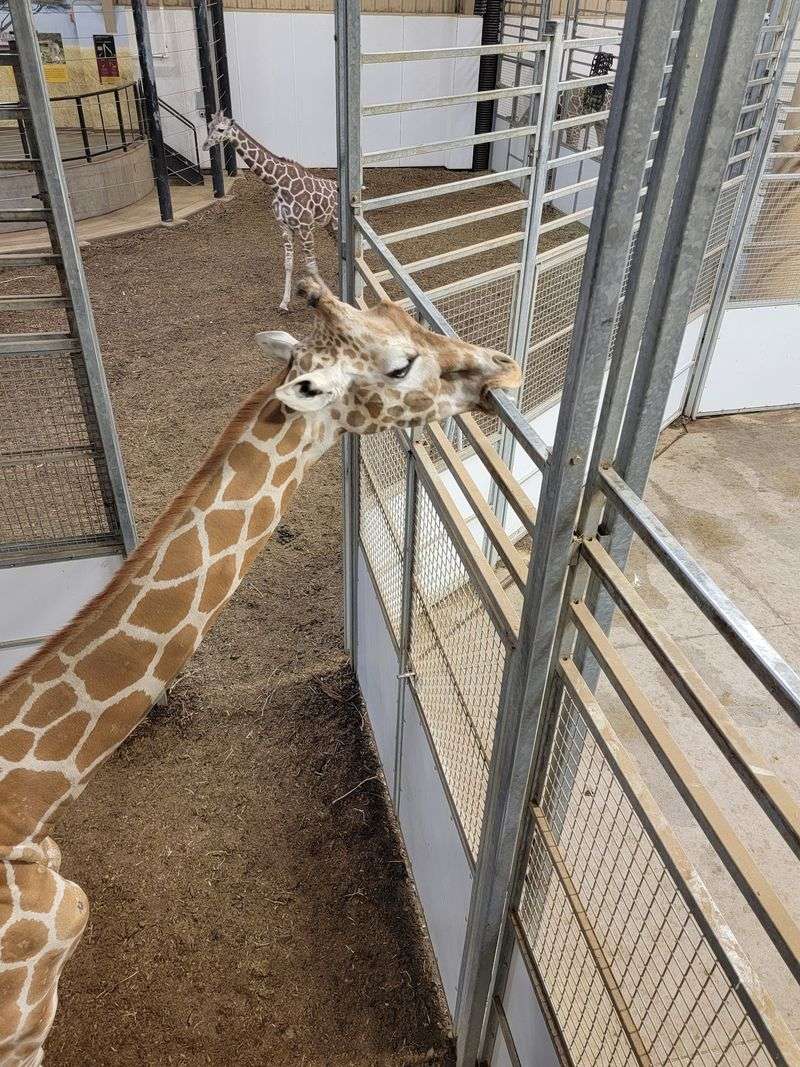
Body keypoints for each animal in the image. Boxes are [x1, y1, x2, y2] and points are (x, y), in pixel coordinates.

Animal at [202, 111, 339, 312]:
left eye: (220, 129)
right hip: (329, 224)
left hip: (336, 223)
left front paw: (329, 296)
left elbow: (312, 266)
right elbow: (288, 264)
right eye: (209, 126)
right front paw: (284, 303)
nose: (205, 145)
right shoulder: (285, 227)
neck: (278, 185)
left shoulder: (305, 227)